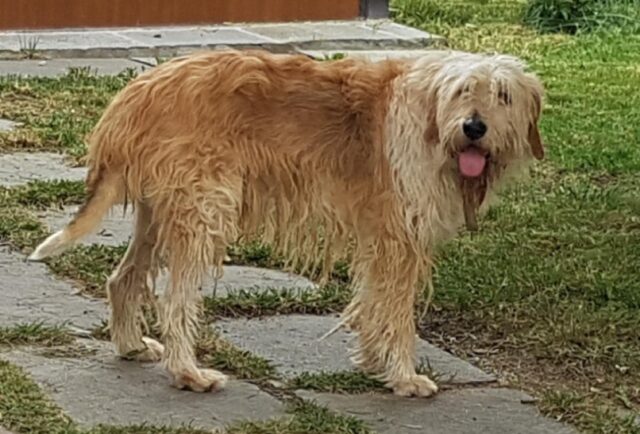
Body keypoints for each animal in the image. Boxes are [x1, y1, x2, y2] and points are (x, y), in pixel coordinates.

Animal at [28, 48, 544, 396]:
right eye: (463, 92)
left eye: (502, 95)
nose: (474, 127)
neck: (431, 119)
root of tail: (137, 90)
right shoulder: (400, 241)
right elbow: (396, 314)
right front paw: (402, 375)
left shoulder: (380, 240)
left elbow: (373, 304)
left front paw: (374, 362)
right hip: (204, 213)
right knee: (174, 302)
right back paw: (188, 373)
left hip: (160, 212)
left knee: (123, 278)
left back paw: (132, 345)